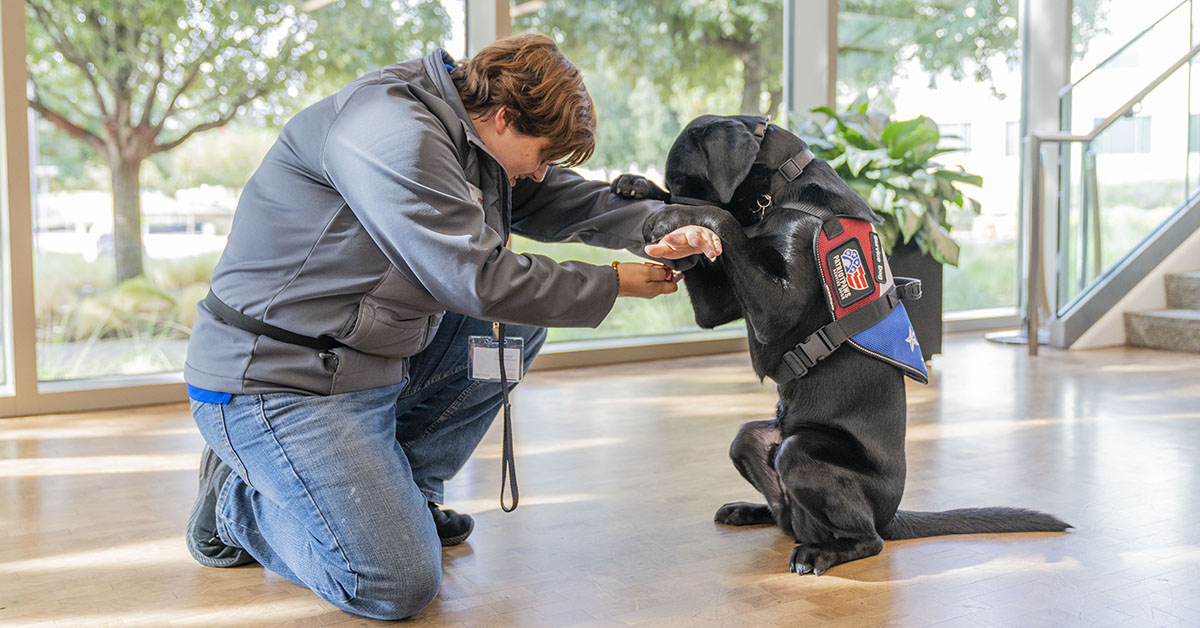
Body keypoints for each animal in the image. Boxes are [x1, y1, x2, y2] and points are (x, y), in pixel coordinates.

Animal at [619, 115, 1070, 578]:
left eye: (685, 181)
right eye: (673, 181)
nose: (663, 217)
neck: (779, 191)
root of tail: (891, 516)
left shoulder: (776, 307)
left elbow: (723, 219)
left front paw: (678, 214)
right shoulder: (719, 306)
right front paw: (637, 184)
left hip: (800, 455)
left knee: (864, 539)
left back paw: (820, 553)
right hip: (753, 441)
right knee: (784, 512)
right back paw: (751, 511)